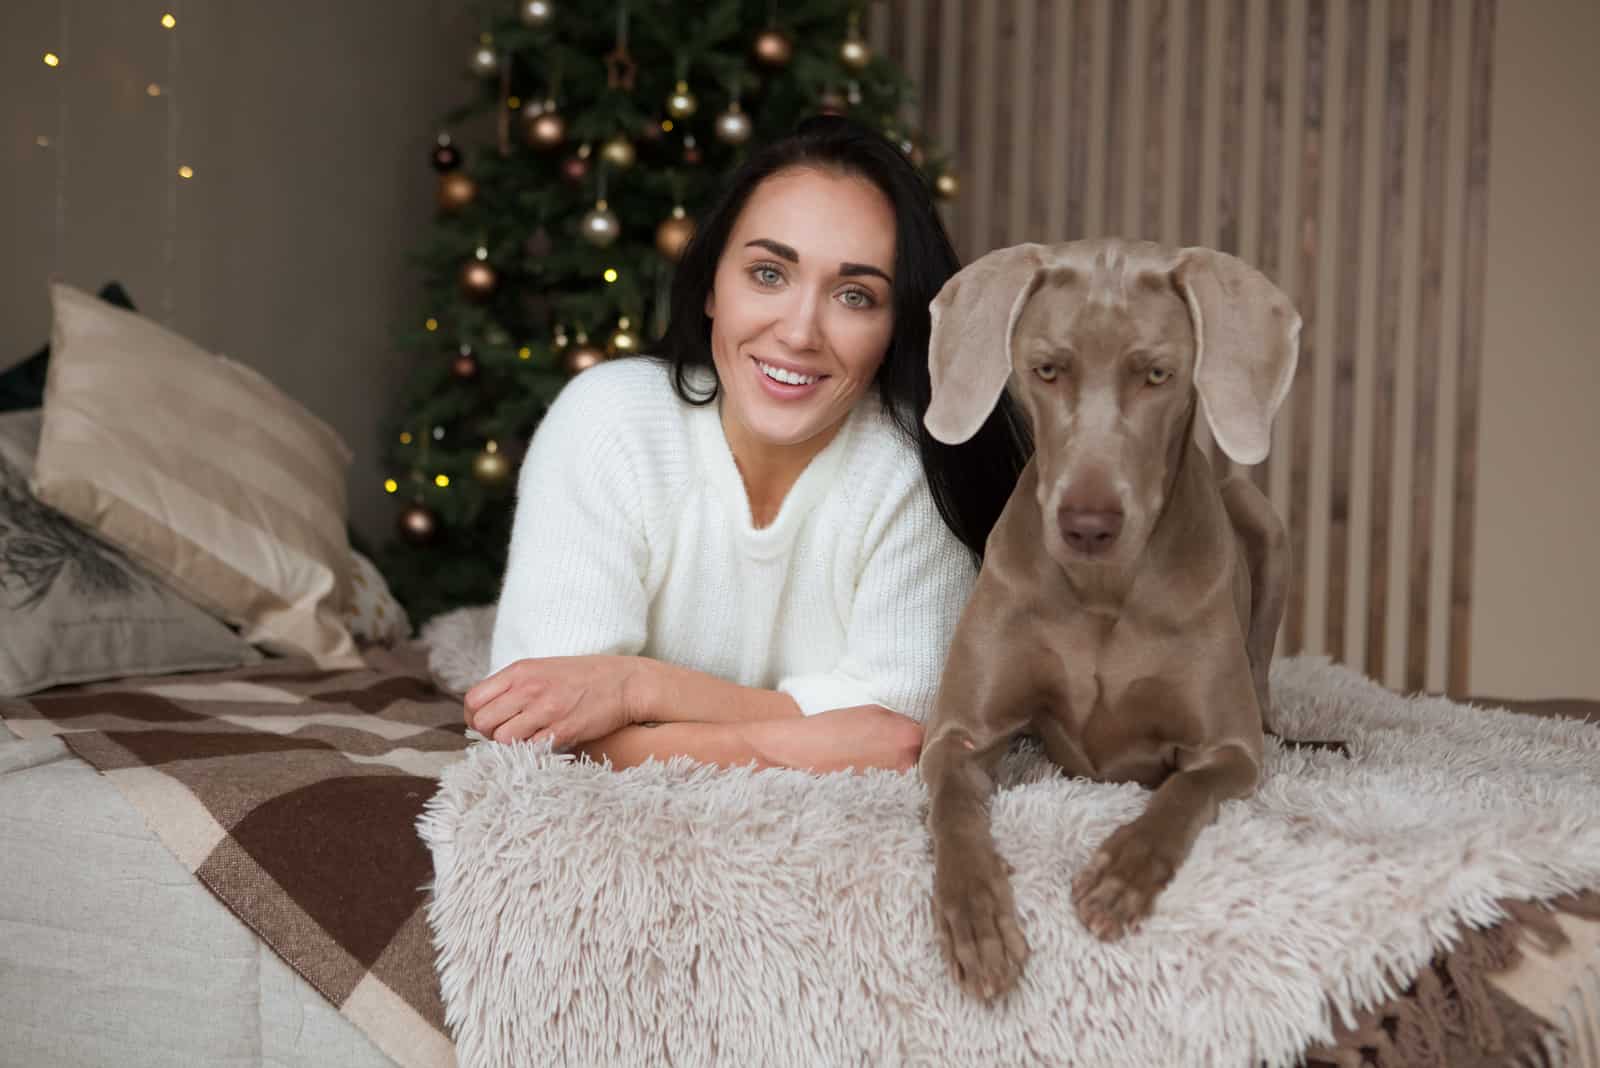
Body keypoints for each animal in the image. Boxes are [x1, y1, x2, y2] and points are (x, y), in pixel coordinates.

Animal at [921, 238, 1305, 997]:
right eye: (1047, 369)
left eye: (1157, 374)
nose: (1088, 526)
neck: (1101, 587)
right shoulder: (958, 735)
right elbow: (953, 810)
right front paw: (977, 919)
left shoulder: (1231, 750)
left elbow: (1182, 793)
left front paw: (1122, 875)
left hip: (1262, 521)